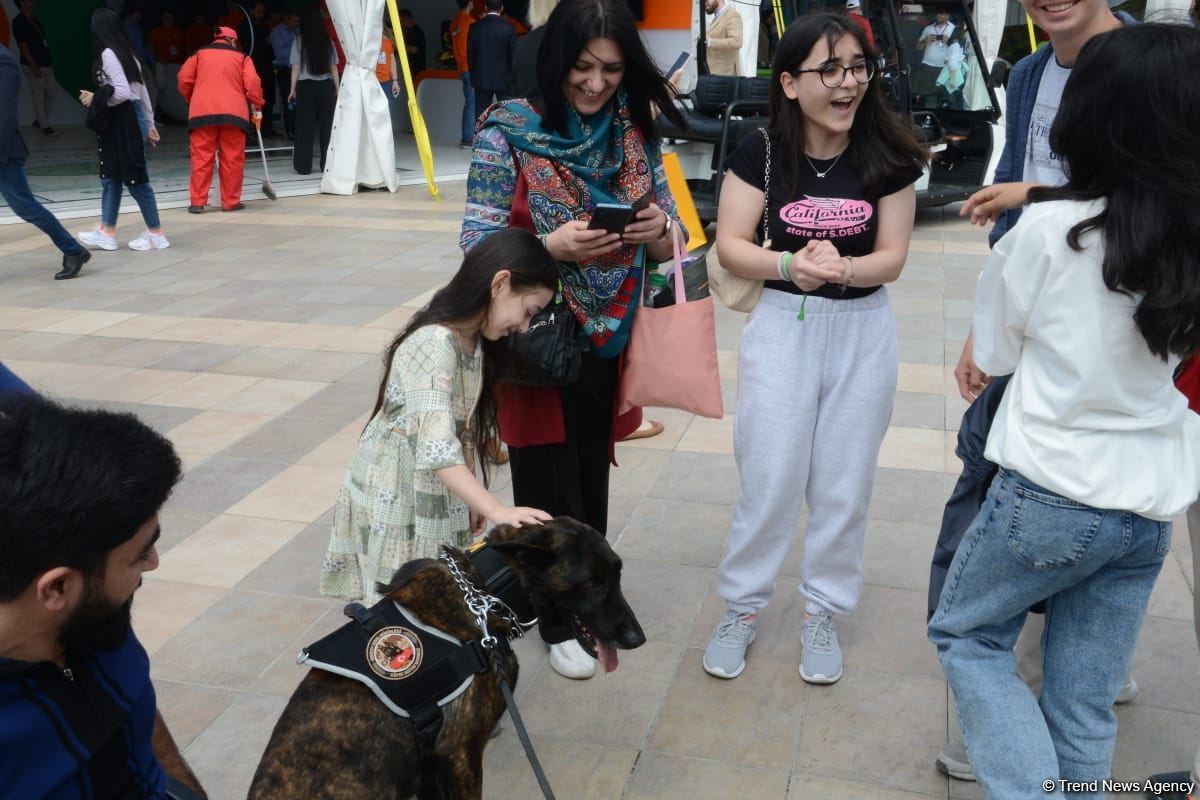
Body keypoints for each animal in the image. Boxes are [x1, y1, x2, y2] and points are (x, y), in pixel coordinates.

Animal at [241, 520, 638, 800]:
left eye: (618, 573)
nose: (638, 638)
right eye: (591, 584)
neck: (481, 591)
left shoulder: (431, 766)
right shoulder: (458, 755)